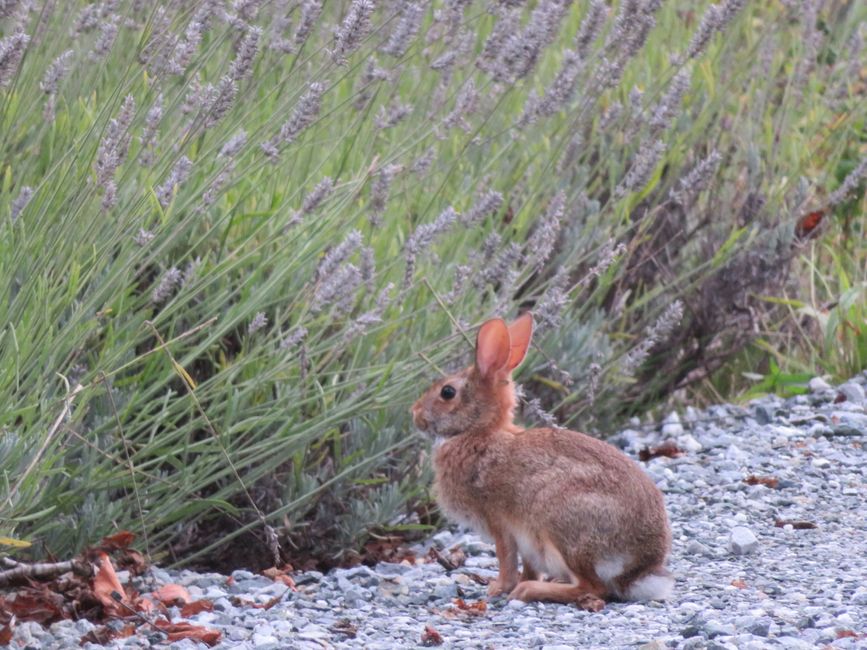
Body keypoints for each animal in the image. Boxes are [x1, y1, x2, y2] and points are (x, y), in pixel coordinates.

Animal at [410, 312, 676, 612]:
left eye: (447, 392)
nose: (414, 414)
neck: (480, 432)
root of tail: (638, 569)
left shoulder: (499, 523)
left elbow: (506, 560)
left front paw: (498, 588)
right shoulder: (527, 541)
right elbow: (528, 566)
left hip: (563, 525)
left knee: (593, 587)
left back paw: (530, 590)